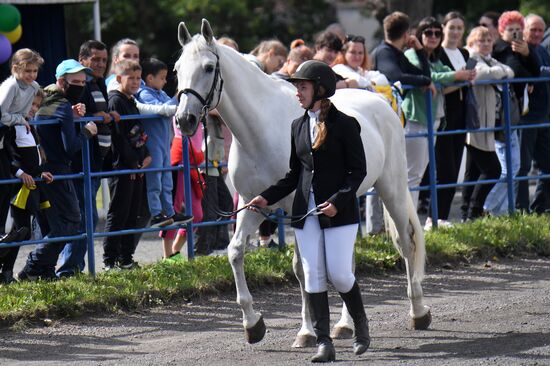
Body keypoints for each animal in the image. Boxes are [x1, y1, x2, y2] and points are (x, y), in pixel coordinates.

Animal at [175, 19, 434, 346]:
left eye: (209, 67)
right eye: (177, 68)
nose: (184, 120)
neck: (259, 129)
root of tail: (382, 101)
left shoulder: (293, 207)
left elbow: (302, 267)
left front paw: (306, 331)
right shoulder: (254, 204)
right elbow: (236, 252)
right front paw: (253, 324)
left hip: (393, 189)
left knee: (406, 241)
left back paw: (418, 312)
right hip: (345, 201)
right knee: (346, 260)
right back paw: (345, 324)